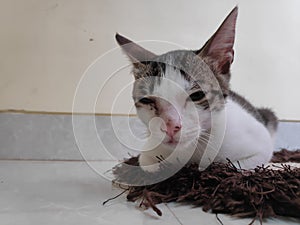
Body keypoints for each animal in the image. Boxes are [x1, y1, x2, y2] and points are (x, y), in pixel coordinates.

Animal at [114, 7, 276, 172]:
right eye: (147, 100)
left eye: (197, 95)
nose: (170, 127)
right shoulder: (149, 151)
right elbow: (147, 164)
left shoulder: (261, 146)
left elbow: (236, 165)